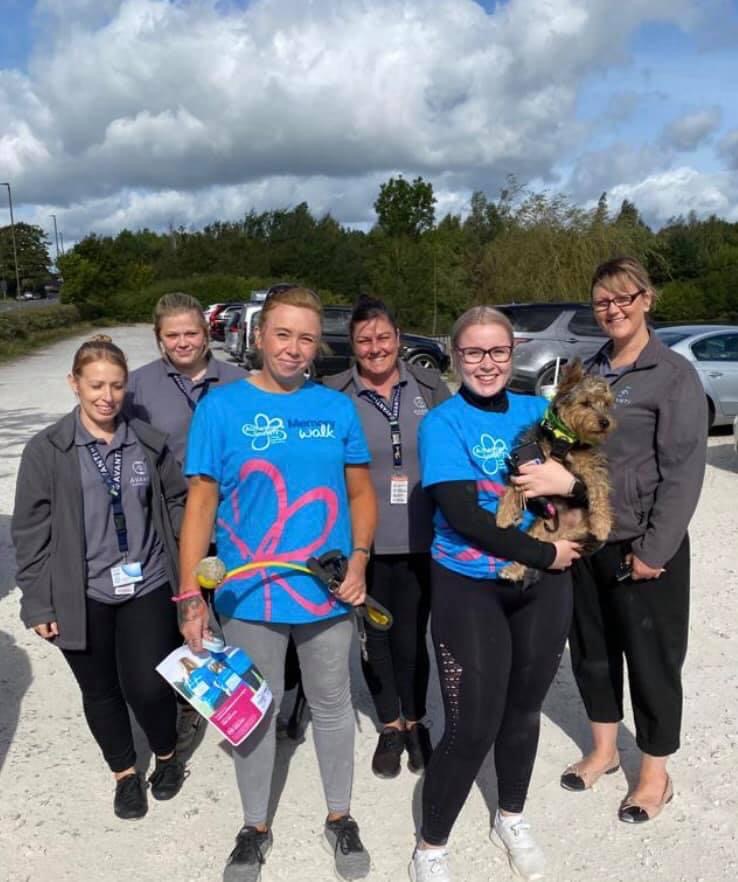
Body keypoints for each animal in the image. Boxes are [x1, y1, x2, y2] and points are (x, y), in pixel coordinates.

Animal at [494, 360, 616, 580]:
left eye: (607, 405)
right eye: (585, 403)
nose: (606, 422)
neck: (564, 437)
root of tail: (566, 529)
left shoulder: (592, 465)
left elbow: (598, 489)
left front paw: (602, 523)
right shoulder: (524, 462)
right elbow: (511, 485)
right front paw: (505, 513)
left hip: (576, 530)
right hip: (543, 528)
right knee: (538, 546)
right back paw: (512, 568)